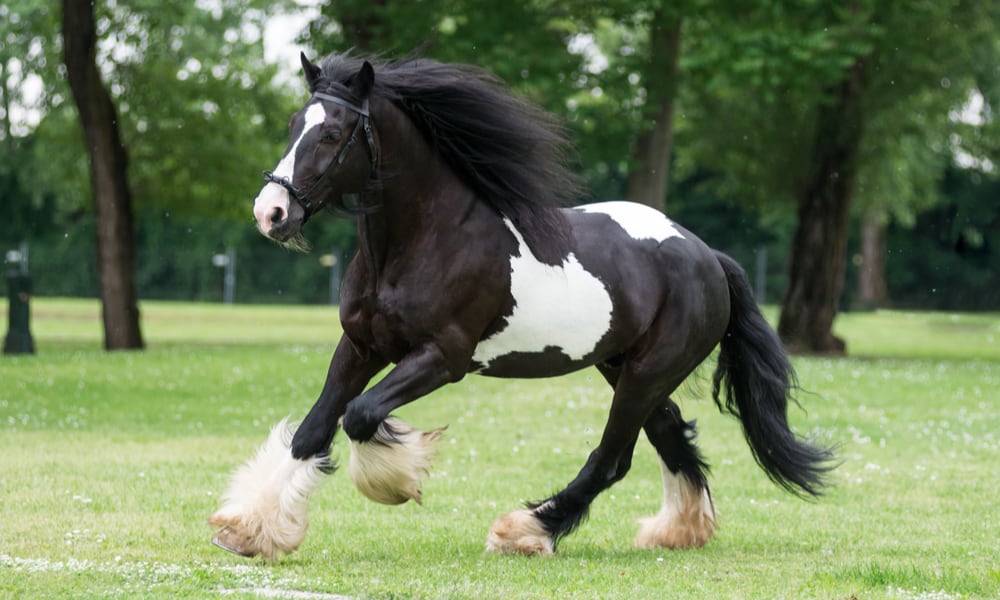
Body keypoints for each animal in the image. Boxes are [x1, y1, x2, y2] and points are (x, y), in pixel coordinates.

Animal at [211, 52, 836, 564]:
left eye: (333, 133)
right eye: (294, 126)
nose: (271, 213)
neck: (425, 241)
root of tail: (708, 255)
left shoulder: (443, 358)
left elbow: (360, 415)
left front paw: (397, 478)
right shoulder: (361, 346)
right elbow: (314, 429)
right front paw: (250, 530)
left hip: (649, 372)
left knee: (613, 458)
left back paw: (526, 531)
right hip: (625, 368)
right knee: (670, 434)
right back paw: (678, 531)